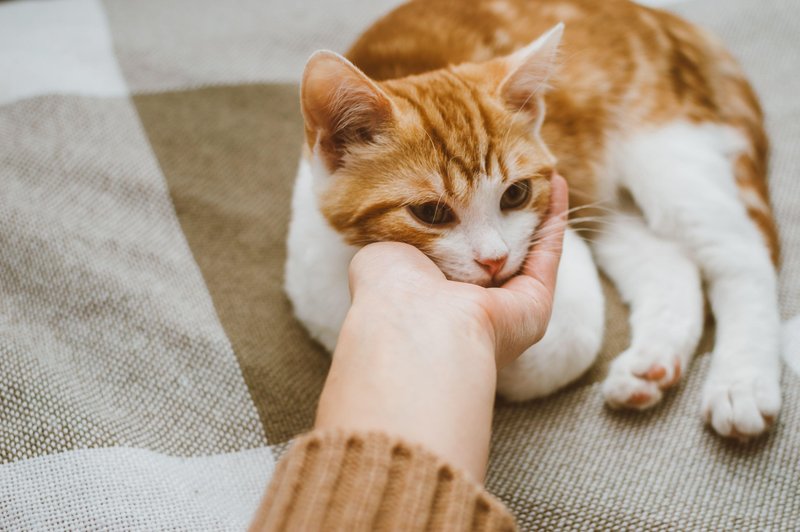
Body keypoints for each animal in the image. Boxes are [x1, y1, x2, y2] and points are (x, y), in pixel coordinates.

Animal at [286, 0, 780, 440]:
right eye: (430, 213)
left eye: (515, 194)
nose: (494, 259)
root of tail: (661, 16)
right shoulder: (314, 290)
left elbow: (565, 346)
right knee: (668, 260)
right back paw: (653, 363)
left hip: (664, 146)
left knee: (740, 256)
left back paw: (743, 381)